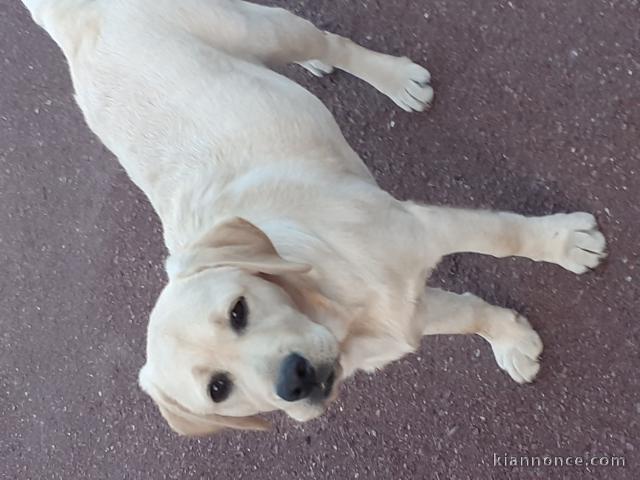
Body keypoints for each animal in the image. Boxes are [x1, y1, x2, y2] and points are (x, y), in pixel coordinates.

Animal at [22, 0, 608, 436]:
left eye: (238, 310)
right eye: (218, 390)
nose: (294, 380)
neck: (337, 308)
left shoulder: (420, 228)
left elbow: (508, 235)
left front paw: (567, 244)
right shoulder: (407, 318)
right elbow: (470, 314)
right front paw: (511, 340)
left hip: (261, 29)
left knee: (328, 42)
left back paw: (395, 78)